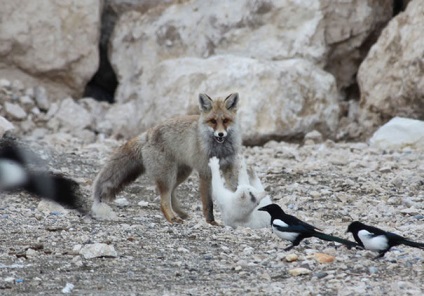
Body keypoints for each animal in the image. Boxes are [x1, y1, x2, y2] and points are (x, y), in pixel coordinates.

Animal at [90, 92, 240, 224]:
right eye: (213, 121)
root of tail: (149, 133)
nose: (220, 134)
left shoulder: (229, 168)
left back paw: (181, 214)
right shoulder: (205, 172)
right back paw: (173, 218)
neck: (220, 150)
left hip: (181, 173)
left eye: (226, 121)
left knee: (171, 194)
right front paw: (211, 222)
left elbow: (235, 191)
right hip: (168, 175)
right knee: (163, 200)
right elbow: (208, 203)